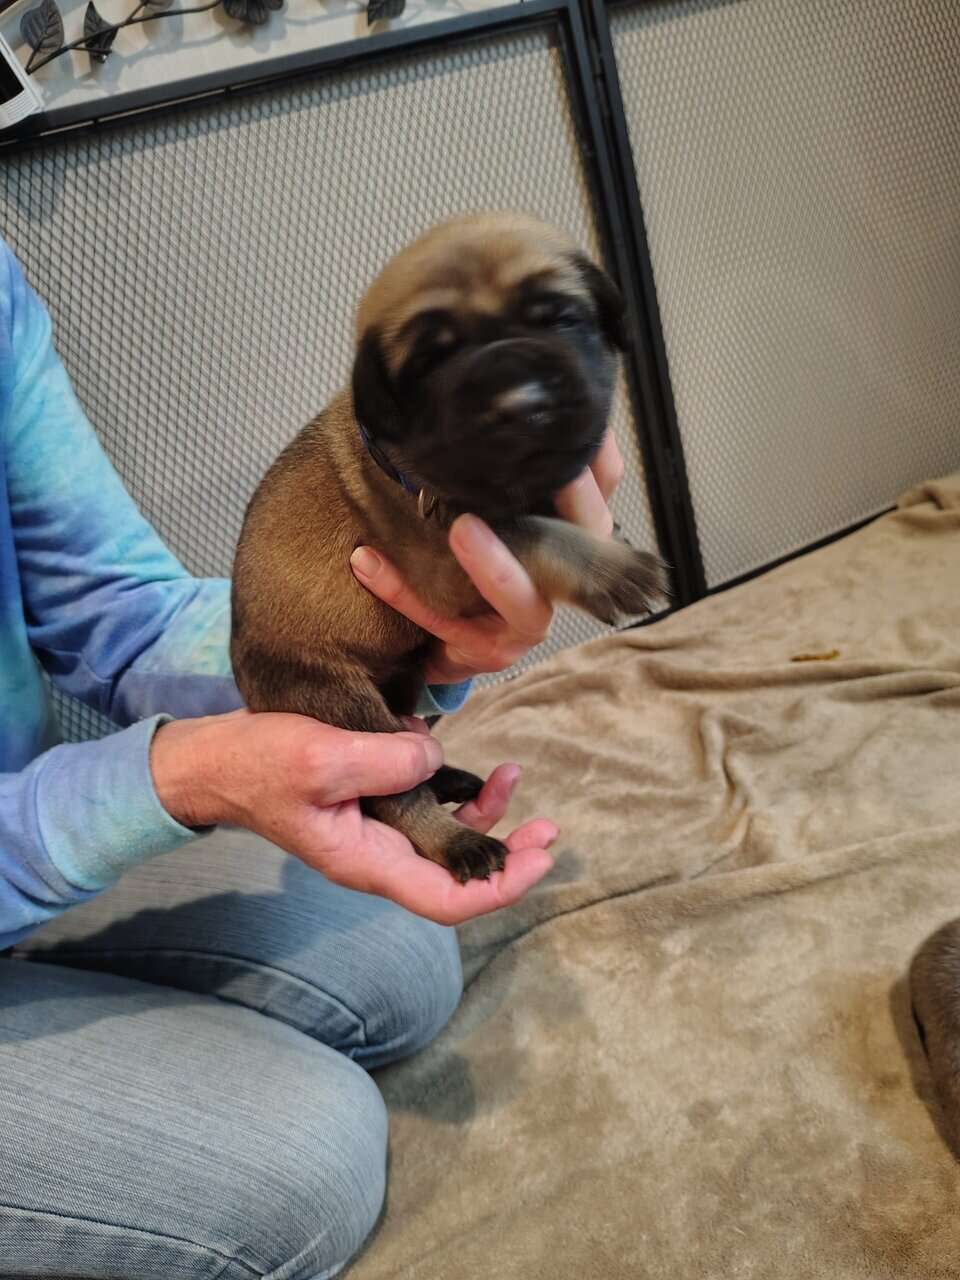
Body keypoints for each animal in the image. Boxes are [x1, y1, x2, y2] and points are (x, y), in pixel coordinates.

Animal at [231, 211, 667, 883]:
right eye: (430, 362)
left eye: (562, 317)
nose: (521, 405)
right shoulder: (447, 559)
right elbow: (523, 528)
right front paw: (610, 569)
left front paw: (610, 533)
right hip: (345, 708)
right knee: (394, 795)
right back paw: (457, 841)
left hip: (402, 694)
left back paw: (450, 778)